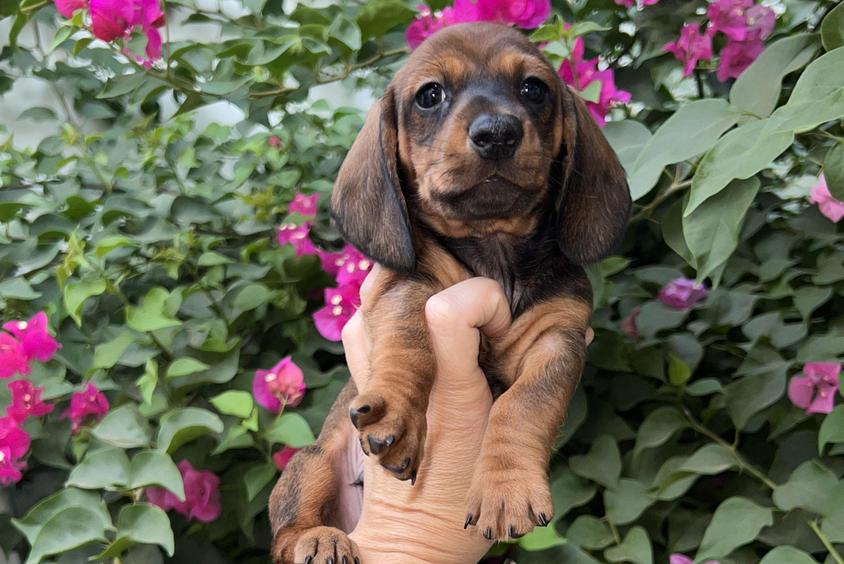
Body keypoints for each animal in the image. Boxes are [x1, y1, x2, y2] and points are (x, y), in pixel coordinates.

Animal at [268, 19, 628, 560]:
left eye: (534, 88)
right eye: (430, 95)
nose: (497, 132)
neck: (495, 249)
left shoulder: (559, 338)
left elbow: (525, 403)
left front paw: (507, 487)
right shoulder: (406, 287)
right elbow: (407, 341)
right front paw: (396, 409)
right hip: (309, 464)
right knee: (287, 529)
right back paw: (316, 537)